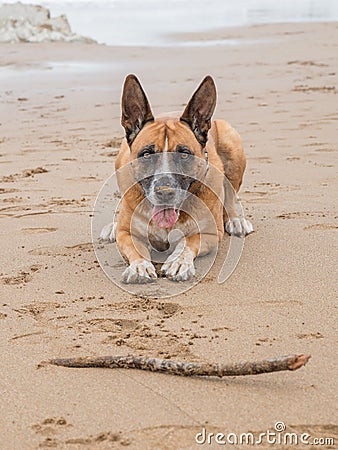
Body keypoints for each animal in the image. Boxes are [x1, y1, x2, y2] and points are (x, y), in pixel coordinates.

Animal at [100, 75, 254, 284]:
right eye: (147, 154)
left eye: (184, 154)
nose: (165, 193)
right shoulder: (126, 234)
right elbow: (134, 248)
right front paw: (140, 266)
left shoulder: (211, 234)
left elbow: (188, 240)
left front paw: (179, 262)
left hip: (232, 144)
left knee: (230, 196)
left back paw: (236, 220)